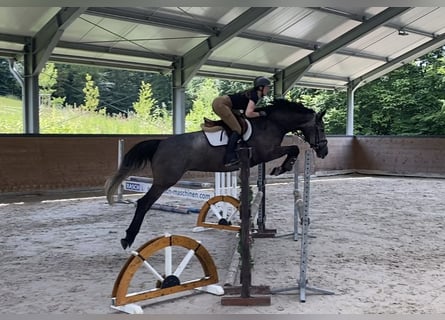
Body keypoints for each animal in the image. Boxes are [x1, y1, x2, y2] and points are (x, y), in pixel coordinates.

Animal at [104, 99, 326, 249]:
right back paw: (128, 238)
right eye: (321, 128)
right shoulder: (266, 153)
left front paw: (281, 168)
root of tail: (161, 143)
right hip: (165, 180)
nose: (324, 152)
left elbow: (292, 150)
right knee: (143, 203)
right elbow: (293, 149)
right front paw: (282, 168)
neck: (271, 123)